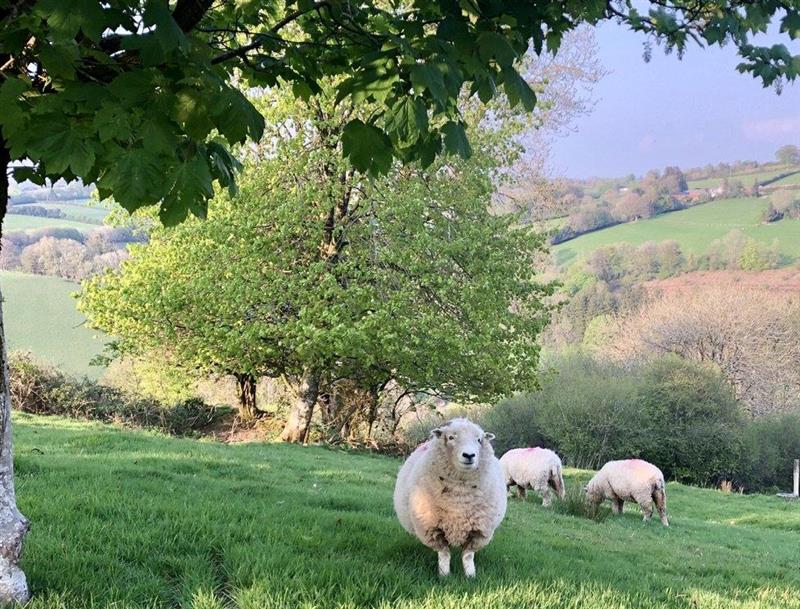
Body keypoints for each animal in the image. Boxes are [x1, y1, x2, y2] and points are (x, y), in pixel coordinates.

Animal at [394, 418, 506, 576]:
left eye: (479, 440)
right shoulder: (433, 528)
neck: (459, 498)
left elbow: (468, 556)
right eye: (451, 437)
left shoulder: (478, 531)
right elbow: (445, 554)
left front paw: (470, 576)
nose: (469, 455)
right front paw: (444, 575)